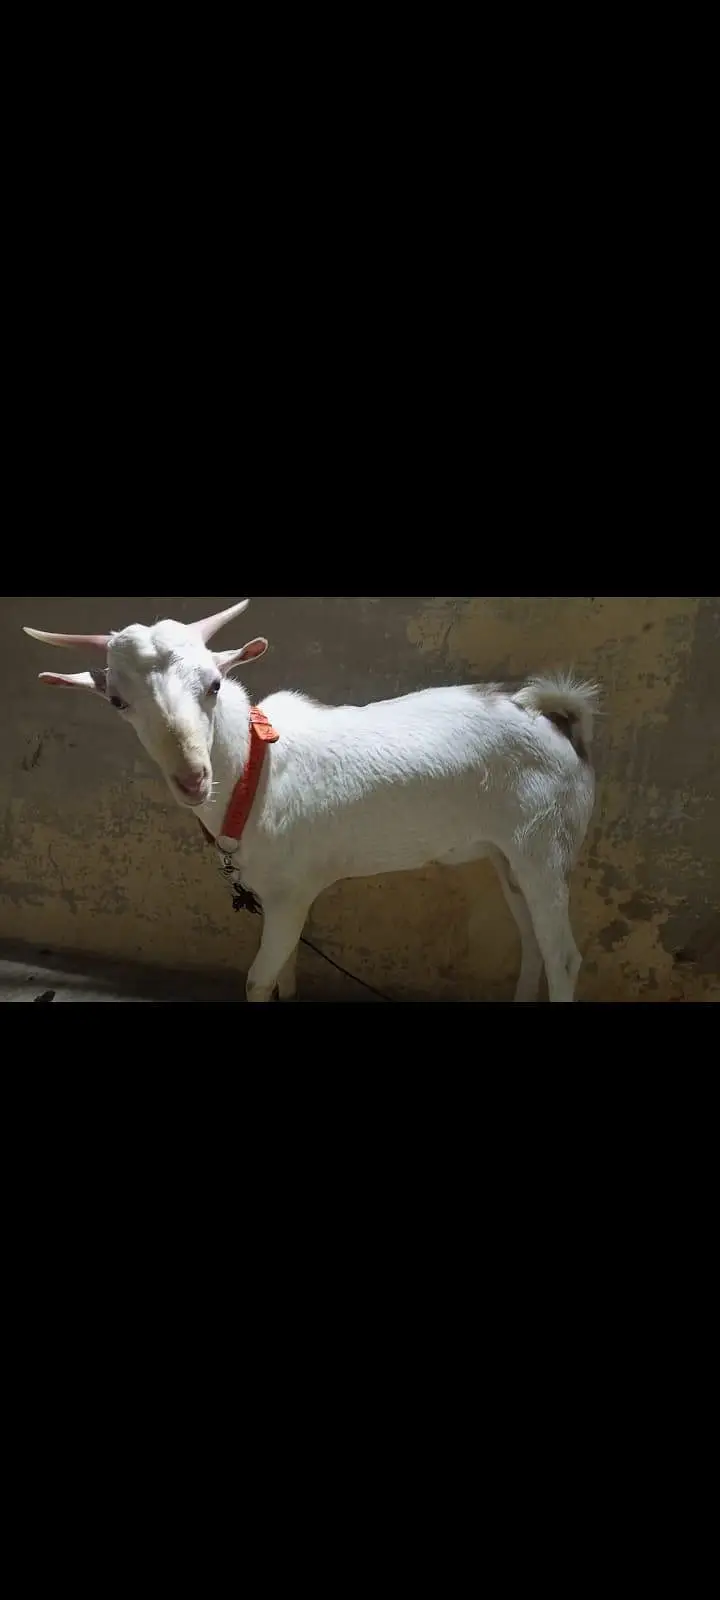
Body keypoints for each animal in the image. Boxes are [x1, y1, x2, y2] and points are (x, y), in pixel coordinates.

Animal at [24, 600, 599, 1002]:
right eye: (117, 701)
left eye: (214, 683)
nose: (192, 778)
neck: (251, 769)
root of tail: (554, 716)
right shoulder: (273, 892)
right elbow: (286, 975)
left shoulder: (291, 891)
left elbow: (259, 979)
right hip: (507, 853)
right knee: (531, 941)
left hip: (545, 842)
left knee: (563, 956)